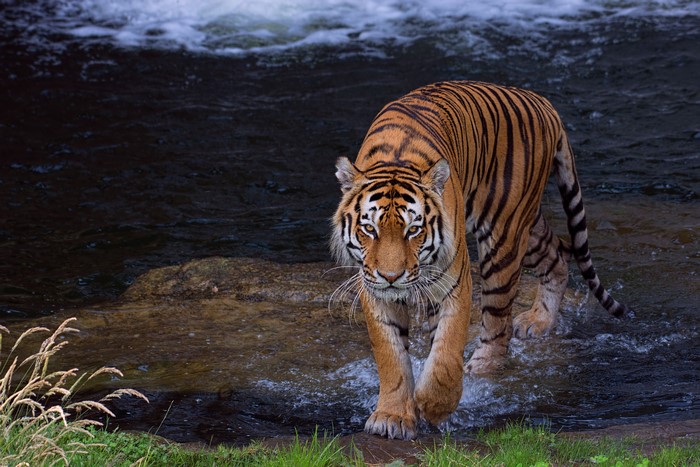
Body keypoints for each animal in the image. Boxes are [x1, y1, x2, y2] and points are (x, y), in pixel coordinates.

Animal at [330, 81, 633, 440]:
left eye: (413, 229)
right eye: (369, 229)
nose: (392, 276)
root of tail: (543, 102)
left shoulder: (454, 281)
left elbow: (446, 353)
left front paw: (434, 405)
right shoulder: (375, 290)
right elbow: (391, 356)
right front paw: (392, 417)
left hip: (504, 233)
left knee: (498, 325)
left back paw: (480, 370)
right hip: (526, 227)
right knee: (558, 251)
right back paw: (539, 321)